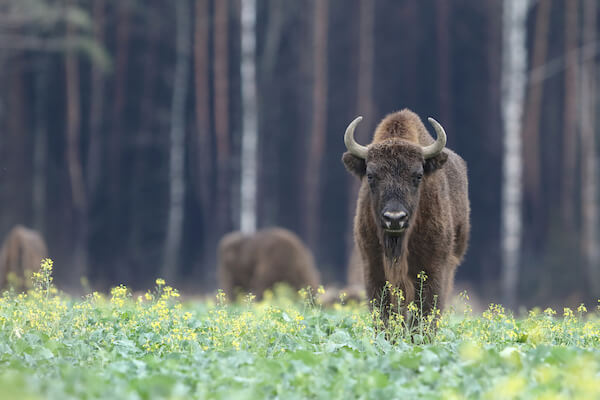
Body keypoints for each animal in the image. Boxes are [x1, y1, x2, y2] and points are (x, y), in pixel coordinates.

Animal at [342, 108, 468, 316]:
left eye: (418, 176)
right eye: (370, 175)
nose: (395, 219)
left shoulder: (434, 267)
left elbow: (426, 310)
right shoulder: (372, 266)